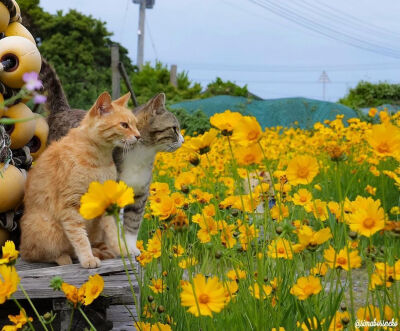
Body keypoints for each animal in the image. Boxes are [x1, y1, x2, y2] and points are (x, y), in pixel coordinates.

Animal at [19, 92, 141, 268]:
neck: (100, 157)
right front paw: (88, 258)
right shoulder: (70, 204)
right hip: (46, 228)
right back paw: (65, 257)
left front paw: (123, 250)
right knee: (37, 254)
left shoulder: (106, 202)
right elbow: (79, 236)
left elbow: (113, 232)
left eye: (135, 125)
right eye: (124, 125)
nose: (139, 136)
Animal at [40, 59, 184, 255]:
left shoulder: (140, 194)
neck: (141, 155)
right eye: (174, 129)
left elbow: (132, 223)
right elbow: (114, 225)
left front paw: (131, 248)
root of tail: (62, 110)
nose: (183, 140)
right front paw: (119, 247)